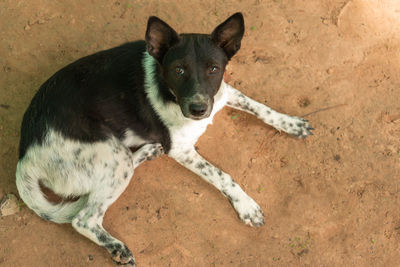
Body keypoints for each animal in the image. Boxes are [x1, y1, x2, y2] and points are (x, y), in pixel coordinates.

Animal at [14, 12, 312, 266]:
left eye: (214, 69)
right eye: (179, 70)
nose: (198, 109)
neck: (168, 90)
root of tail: (24, 157)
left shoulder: (222, 93)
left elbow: (260, 107)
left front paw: (291, 123)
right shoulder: (181, 150)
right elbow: (222, 175)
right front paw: (246, 205)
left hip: (116, 158)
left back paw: (148, 151)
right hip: (111, 158)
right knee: (83, 219)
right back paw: (116, 247)